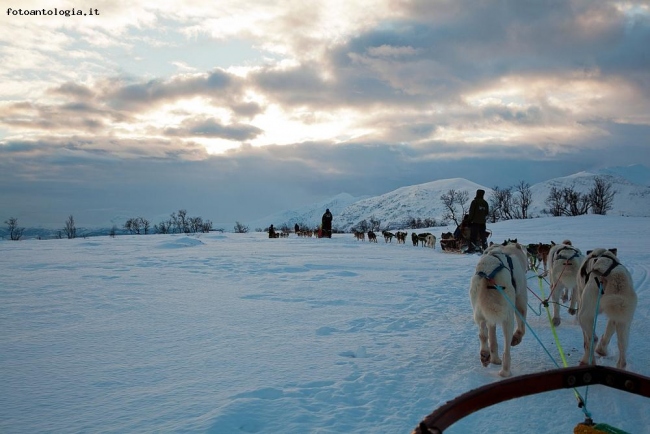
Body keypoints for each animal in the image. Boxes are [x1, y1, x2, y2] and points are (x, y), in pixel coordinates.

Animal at [470, 242, 528, 378]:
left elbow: (493, 339)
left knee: (483, 334)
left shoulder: (490, 318)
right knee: (507, 349)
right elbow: (522, 327)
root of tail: (488, 273)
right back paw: (505, 371)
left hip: (479, 312)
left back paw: (485, 355)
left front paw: (494, 359)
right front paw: (517, 337)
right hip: (508, 317)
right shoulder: (520, 300)